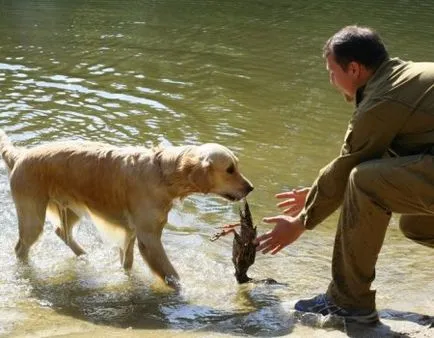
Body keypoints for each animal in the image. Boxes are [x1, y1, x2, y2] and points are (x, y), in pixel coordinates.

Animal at [0, 131, 253, 290]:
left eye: (237, 166)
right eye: (230, 169)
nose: (250, 188)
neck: (163, 174)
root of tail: (21, 155)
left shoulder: (132, 232)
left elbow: (127, 263)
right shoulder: (149, 238)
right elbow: (172, 273)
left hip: (70, 209)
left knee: (62, 233)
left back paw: (84, 256)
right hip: (33, 216)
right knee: (21, 248)